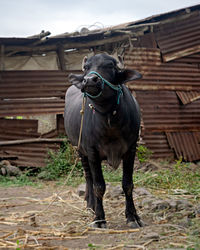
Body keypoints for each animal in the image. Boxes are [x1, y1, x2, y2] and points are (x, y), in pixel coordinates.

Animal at [65, 53, 143, 229]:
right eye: (87, 67)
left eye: (110, 66)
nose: (89, 80)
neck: (109, 120)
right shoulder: (92, 152)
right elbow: (99, 186)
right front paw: (99, 218)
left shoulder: (131, 150)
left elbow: (128, 184)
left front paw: (132, 216)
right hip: (81, 151)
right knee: (89, 178)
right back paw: (91, 206)